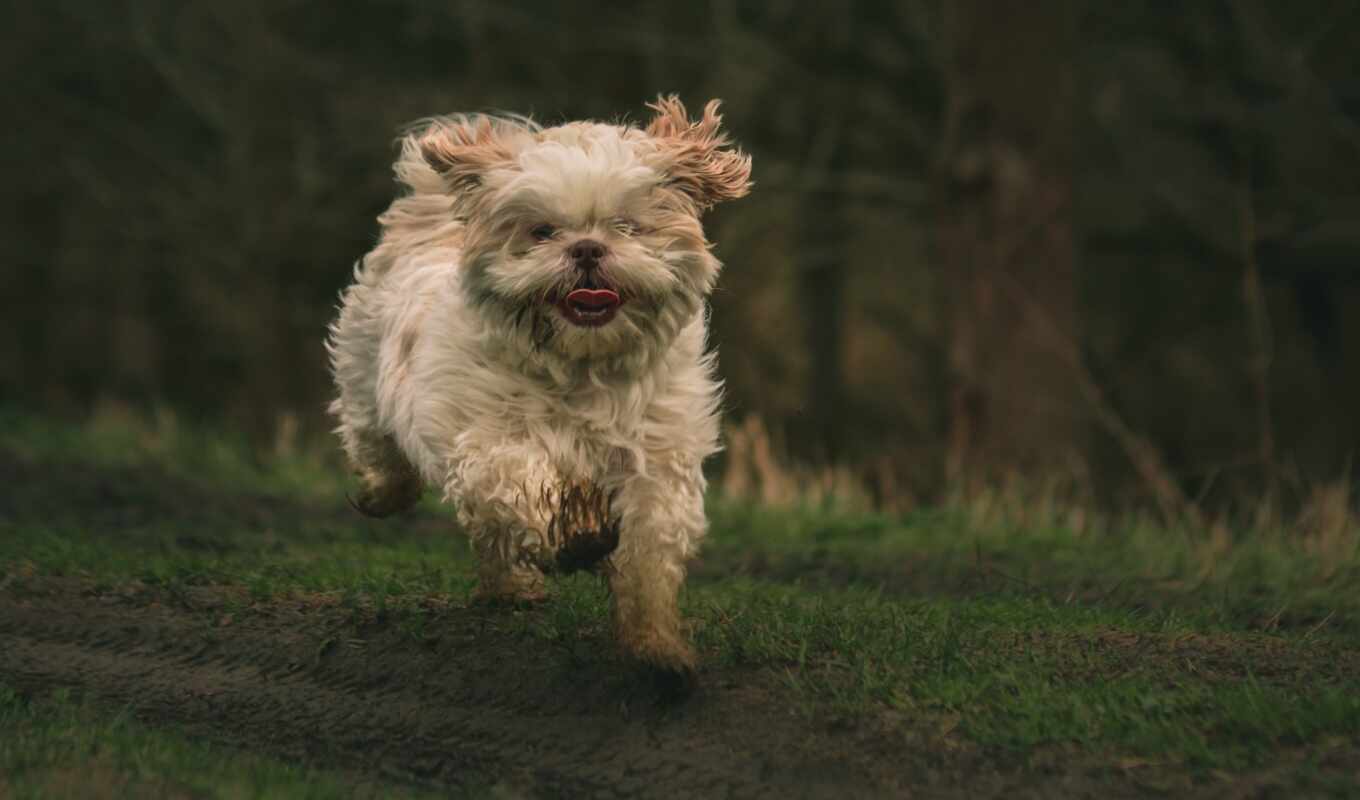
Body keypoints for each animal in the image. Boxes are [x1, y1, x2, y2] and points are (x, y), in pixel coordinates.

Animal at [329, 96, 756, 677]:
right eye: (542, 232)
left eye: (625, 226)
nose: (587, 248)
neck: (581, 367)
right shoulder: (488, 443)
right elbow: (524, 483)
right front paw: (576, 534)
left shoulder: (657, 462)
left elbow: (648, 559)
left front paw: (656, 648)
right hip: (365, 377)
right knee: (379, 448)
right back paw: (384, 494)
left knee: (489, 535)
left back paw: (511, 586)